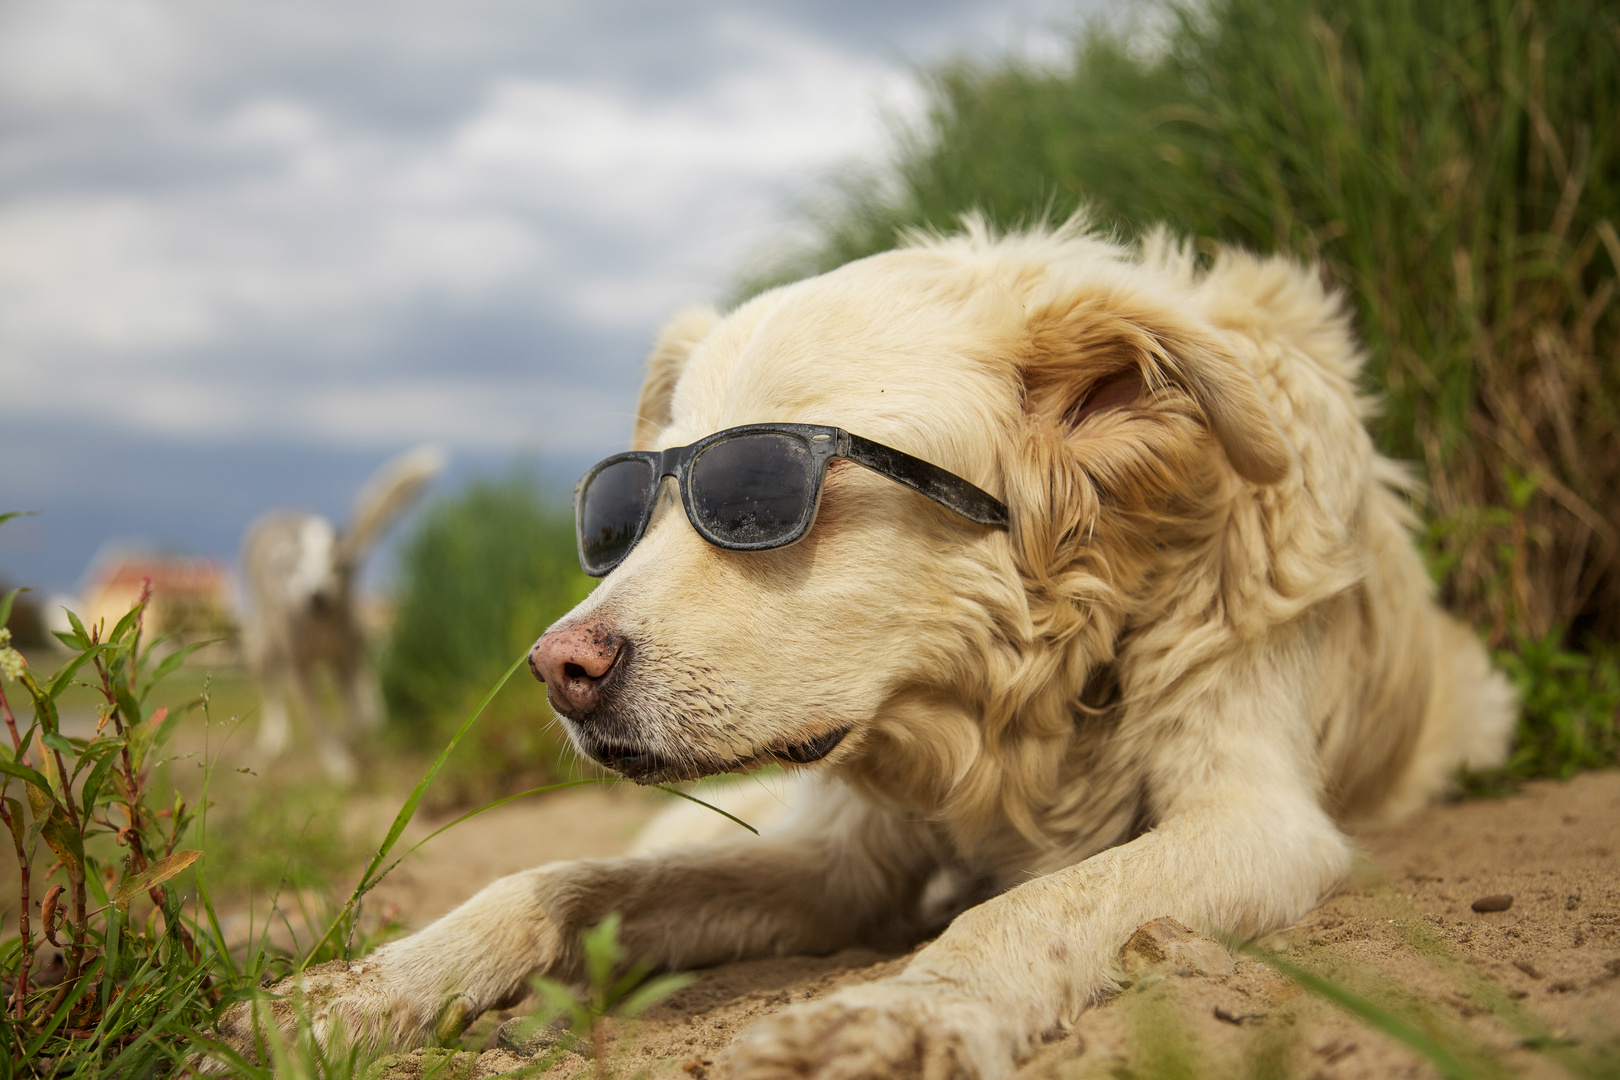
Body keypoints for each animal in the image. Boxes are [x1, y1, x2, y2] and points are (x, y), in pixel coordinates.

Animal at [239, 443, 443, 780]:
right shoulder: (301, 671)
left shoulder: (348, 660)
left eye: (337, 566)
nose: (316, 595)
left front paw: (348, 741)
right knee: (270, 688)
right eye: (297, 570)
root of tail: (275, 515)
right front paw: (338, 765)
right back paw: (274, 738)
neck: (321, 629)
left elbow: (362, 718)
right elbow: (321, 725)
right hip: (265, 645)